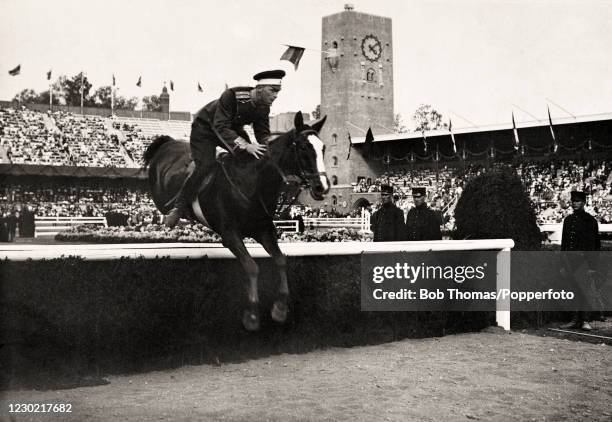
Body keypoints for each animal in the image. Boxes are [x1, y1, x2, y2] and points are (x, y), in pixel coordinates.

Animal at [142, 112, 330, 330]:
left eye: (323, 148)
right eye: (303, 147)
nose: (322, 186)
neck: (252, 182)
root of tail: (168, 142)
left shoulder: (264, 229)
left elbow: (281, 260)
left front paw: (280, 308)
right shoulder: (230, 234)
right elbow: (251, 266)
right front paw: (252, 314)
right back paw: (174, 214)